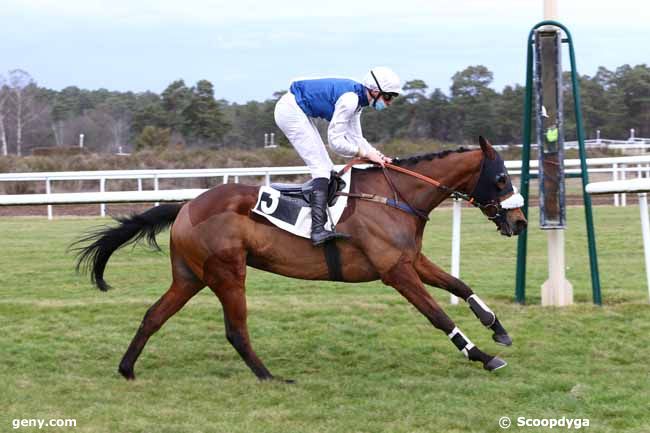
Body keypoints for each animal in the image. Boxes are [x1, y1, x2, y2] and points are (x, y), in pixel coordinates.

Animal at [72, 136, 528, 382]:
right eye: (502, 178)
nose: (520, 221)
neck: (395, 196)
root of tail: (186, 206)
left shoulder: (410, 260)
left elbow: (460, 285)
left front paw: (498, 329)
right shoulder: (395, 272)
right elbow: (439, 315)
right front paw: (483, 356)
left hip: (190, 276)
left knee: (154, 315)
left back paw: (127, 368)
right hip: (228, 273)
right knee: (235, 330)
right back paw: (269, 376)